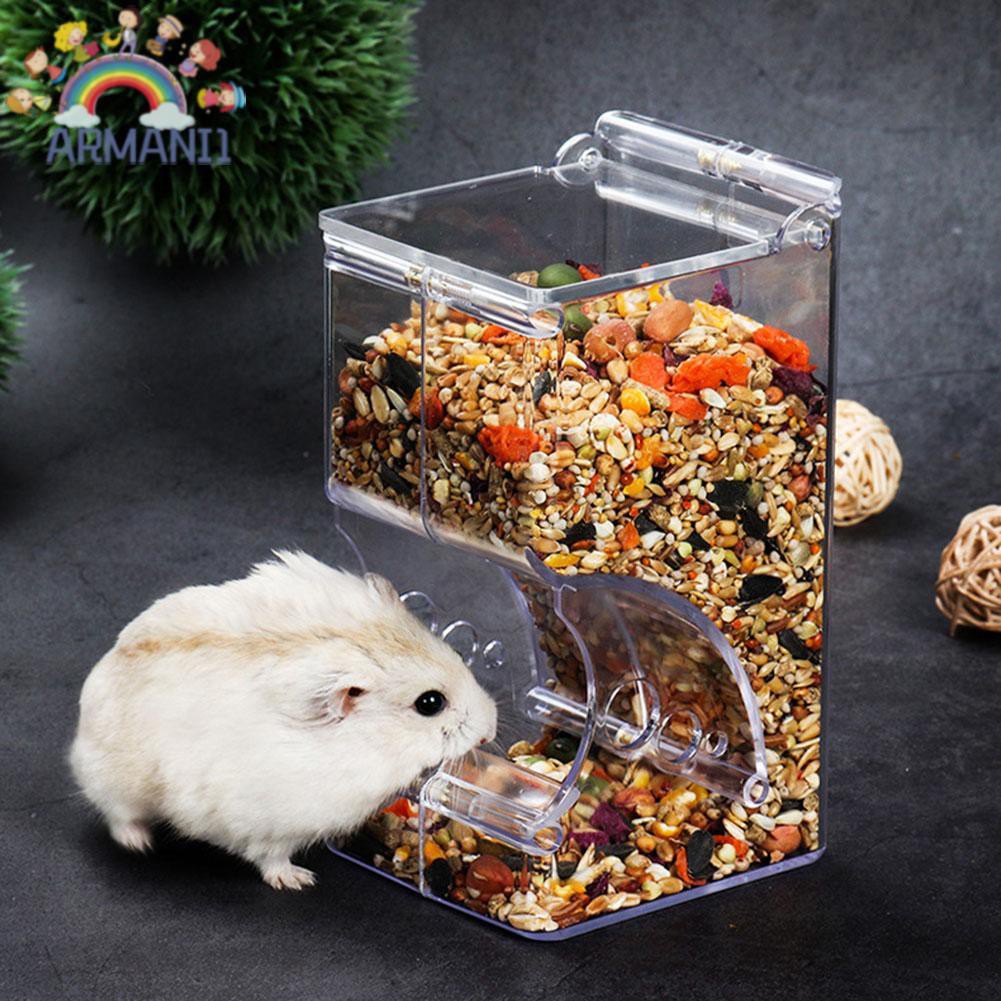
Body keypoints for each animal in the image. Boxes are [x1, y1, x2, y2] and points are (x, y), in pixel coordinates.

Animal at [70, 551, 497, 890]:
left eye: (457, 655)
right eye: (430, 703)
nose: (490, 729)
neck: (371, 745)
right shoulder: (270, 822)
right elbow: (270, 857)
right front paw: (299, 881)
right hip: (115, 782)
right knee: (116, 813)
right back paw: (138, 843)